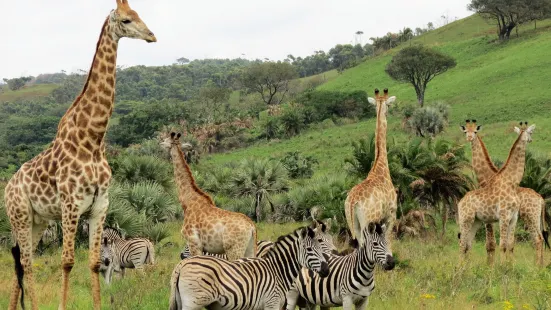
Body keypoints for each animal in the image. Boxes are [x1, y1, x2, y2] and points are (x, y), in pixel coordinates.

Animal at [4, 1, 155, 308]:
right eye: (126, 20)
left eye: (140, 14)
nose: (151, 36)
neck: (93, 139)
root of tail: (7, 188)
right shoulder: (71, 205)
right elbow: (67, 262)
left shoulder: (100, 206)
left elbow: (95, 263)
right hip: (19, 216)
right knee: (27, 264)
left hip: (36, 221)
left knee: (22, 263)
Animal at [160, 132, 258, 260]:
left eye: (166, 140)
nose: (160, 143)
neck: (187, 201)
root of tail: (251, 226)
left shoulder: (193, 243)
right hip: (249, 249)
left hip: (234, 249)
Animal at [168, 225, 332, 310]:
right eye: (310, 250)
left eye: (322, 248)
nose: (326, 270)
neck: (278, 272)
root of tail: (182, 264)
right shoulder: (271, 303)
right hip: (192, 302)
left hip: (181, 301)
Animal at [344, 88, 396, 248]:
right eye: (389, 105)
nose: (389, 113)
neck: (380, 167)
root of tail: (352, 202)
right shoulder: (391, 215)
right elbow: (388, 241)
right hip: (368, 222)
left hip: (353, 225)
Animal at [462, 120, 548, 266]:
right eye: (465, 131)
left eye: (475, 131)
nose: (469, 138)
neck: (487, 176)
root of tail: (541, 198)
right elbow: (502, 244)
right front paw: (501, 265)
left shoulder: (493, 218)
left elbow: (492, 244)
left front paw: (493, 265)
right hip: (534, 218)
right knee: (541, 238)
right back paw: (540, 265)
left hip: (530, 217)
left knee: (537, 239)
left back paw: (537, 265)